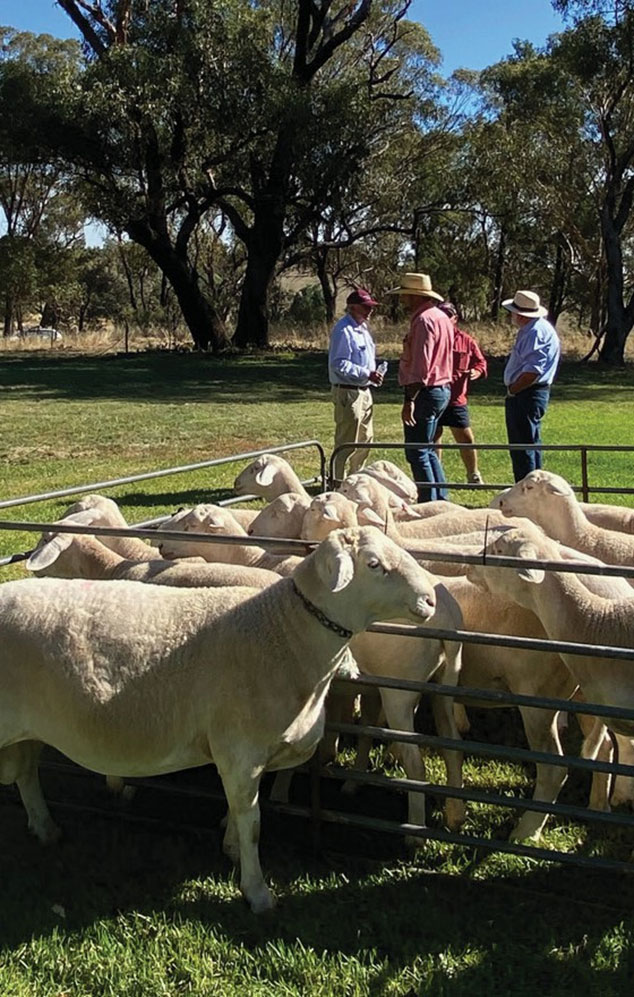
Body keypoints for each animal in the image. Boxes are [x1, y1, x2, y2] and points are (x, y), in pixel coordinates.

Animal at [0, 526, 438, 912]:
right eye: (374, 563)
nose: (432, 599)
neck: (286, 632)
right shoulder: (240, 749)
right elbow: (253, 821)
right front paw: (257, 892)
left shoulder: (243, 754)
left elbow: (238, 810)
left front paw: (231, 849)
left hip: (28, 729)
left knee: (26, 773)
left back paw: (46, 829)